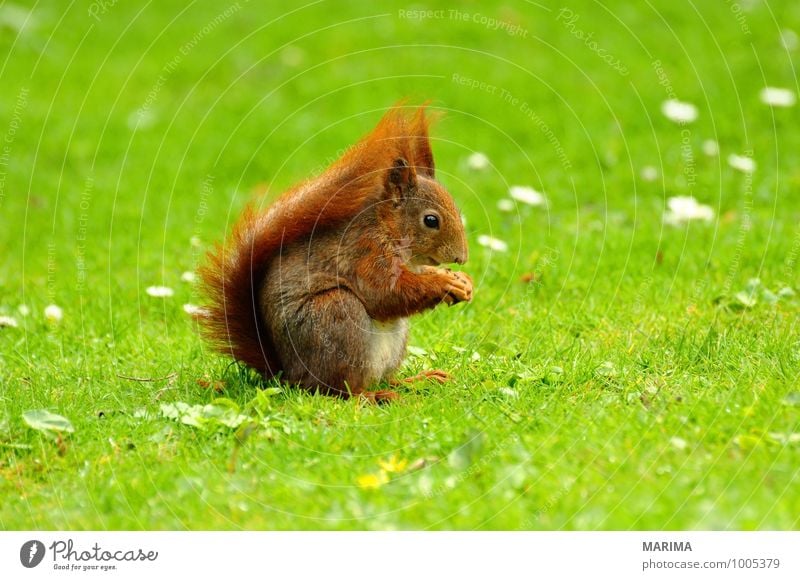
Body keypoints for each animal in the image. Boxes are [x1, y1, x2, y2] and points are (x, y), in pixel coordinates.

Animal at [200, 104, 472, 402]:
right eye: (431, 220)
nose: (461, 257)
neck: (387, 228)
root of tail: (288, 375)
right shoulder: (364, 252)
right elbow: (384, 294)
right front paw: (443, 282)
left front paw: (462, 282)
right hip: (336, 316)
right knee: (340, 389)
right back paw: (374, 396)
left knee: (381, 379)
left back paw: (416, 381)